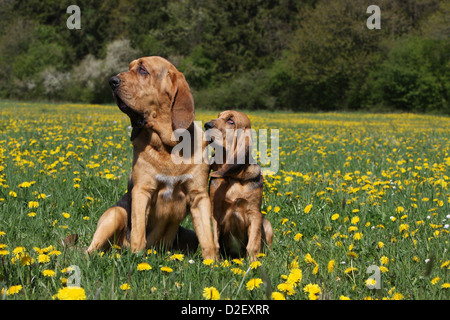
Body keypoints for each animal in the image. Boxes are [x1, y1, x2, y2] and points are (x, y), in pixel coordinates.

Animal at [87, 55, 217, 260]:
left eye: (143, 70)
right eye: (130, 67)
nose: (111, 81)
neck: (168, 147)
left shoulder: (199, 196)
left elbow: (208, 239)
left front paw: (213, 263)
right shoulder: (142, 191)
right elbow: (139, 233)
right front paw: (137, 258)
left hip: (189, 234)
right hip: (116, 213)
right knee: (90, 249)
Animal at [205, 110, 274, 260]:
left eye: (231, 121)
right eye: (218, 116)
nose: (206, 125)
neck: (233, 178)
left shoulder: (254, 214)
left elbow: (253, 244)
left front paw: (253, 262)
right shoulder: (214, 212)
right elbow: (214, 241)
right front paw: (214, 262)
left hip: (267, 223)